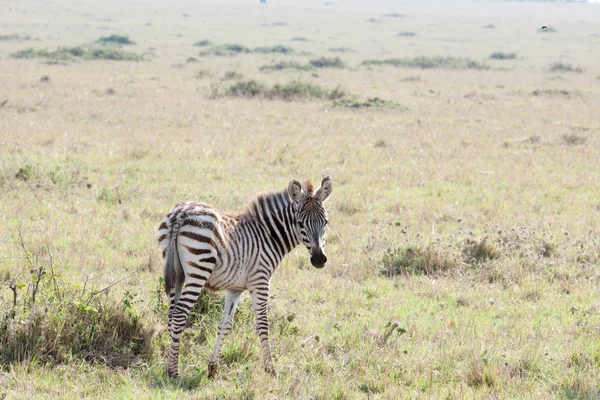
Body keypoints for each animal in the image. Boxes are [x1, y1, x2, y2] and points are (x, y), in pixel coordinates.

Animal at [157, 176, 332, 378]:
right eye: (300, 223)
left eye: (325, 222)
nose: (319, 259)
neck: (268, 236)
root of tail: (181, 212)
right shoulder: (260, 281)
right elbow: (263, 324)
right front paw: (270, 369)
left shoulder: (235, 288)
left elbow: (225, 325)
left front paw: (213, 368)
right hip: (198, 270)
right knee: (179, 314)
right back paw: (173, 371)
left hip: (177, 273)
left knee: (171, 315)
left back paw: (169, 362)